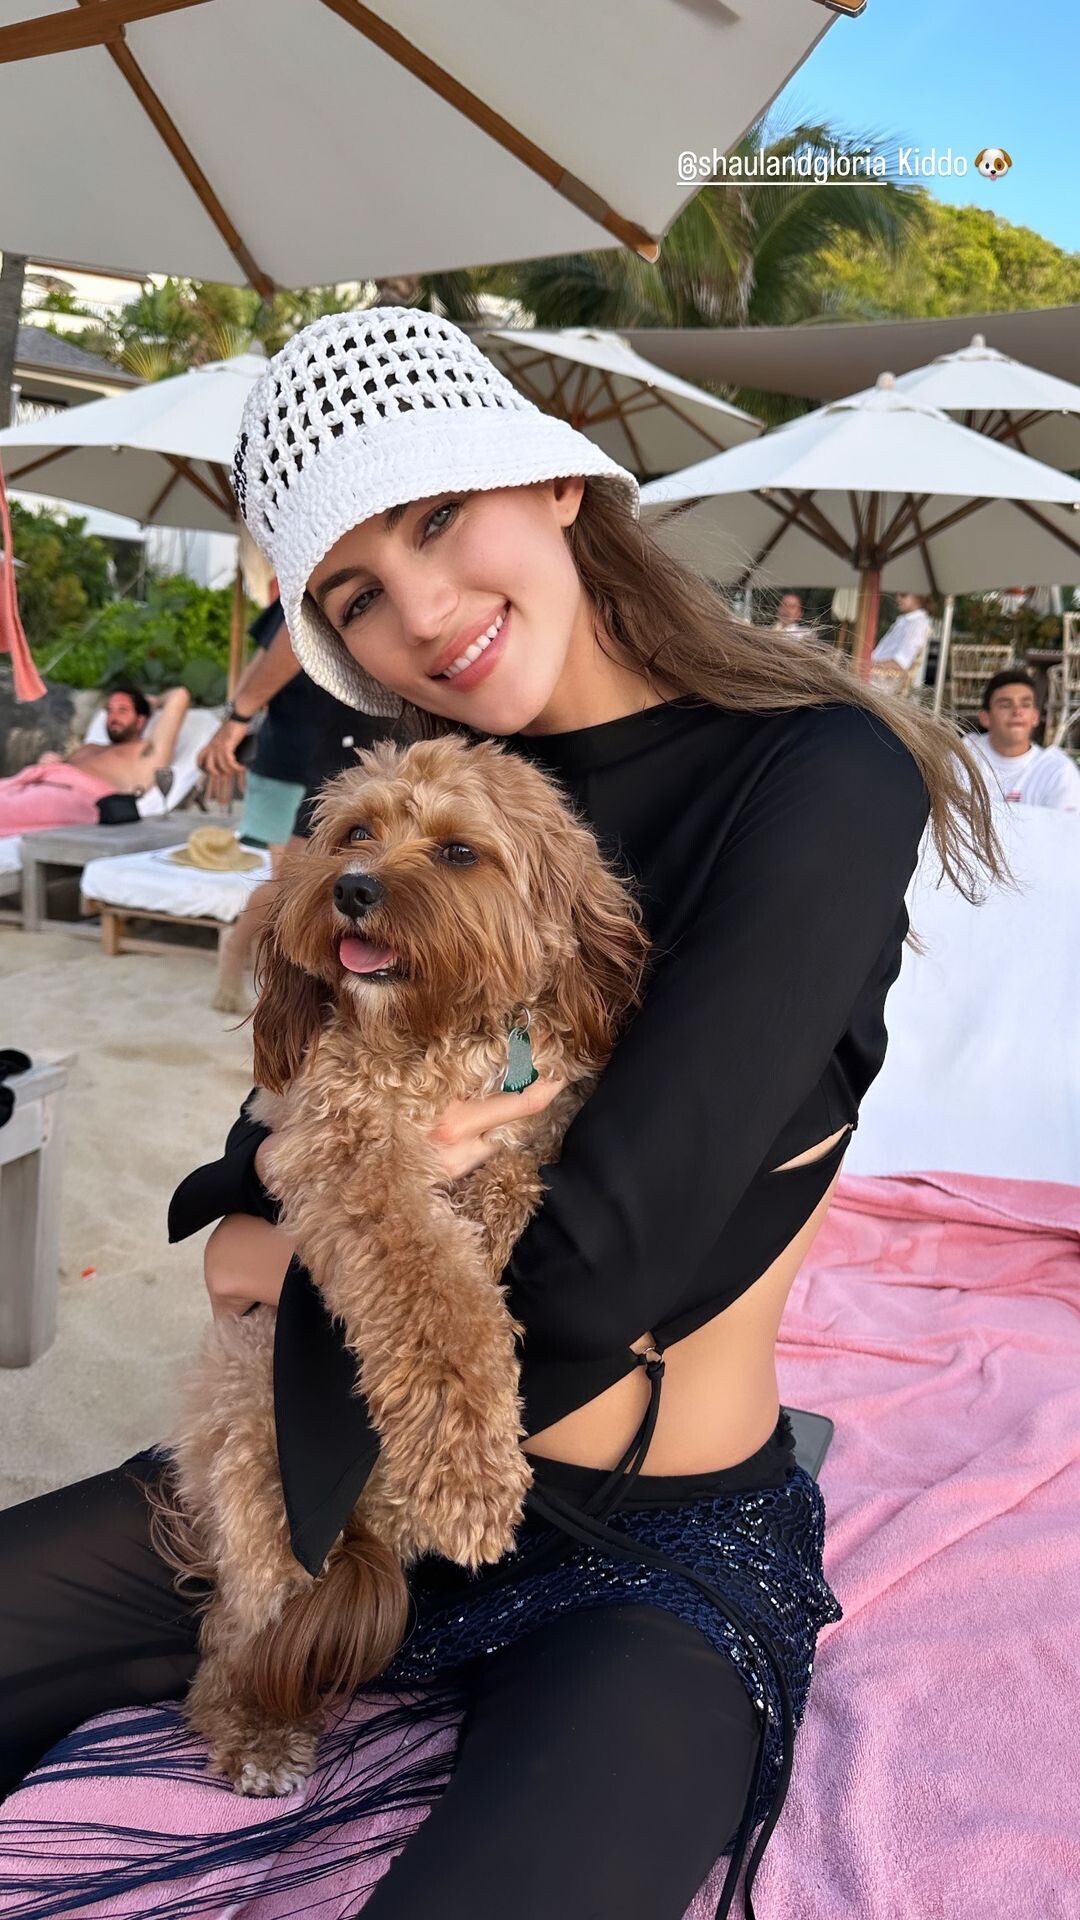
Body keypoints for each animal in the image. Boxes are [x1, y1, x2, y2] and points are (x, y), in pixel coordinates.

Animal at [159, 734, 648, 1795]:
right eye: (355, 831)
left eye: (460, 851)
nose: (351, 888)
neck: (436, 1033)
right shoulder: (346, 1161)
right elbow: (430, 1295)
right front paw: (466, 1471)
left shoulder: (531, 1130)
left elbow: (494, 1215)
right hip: (254, 1464)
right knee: (230, 1637)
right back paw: (254, 1731)